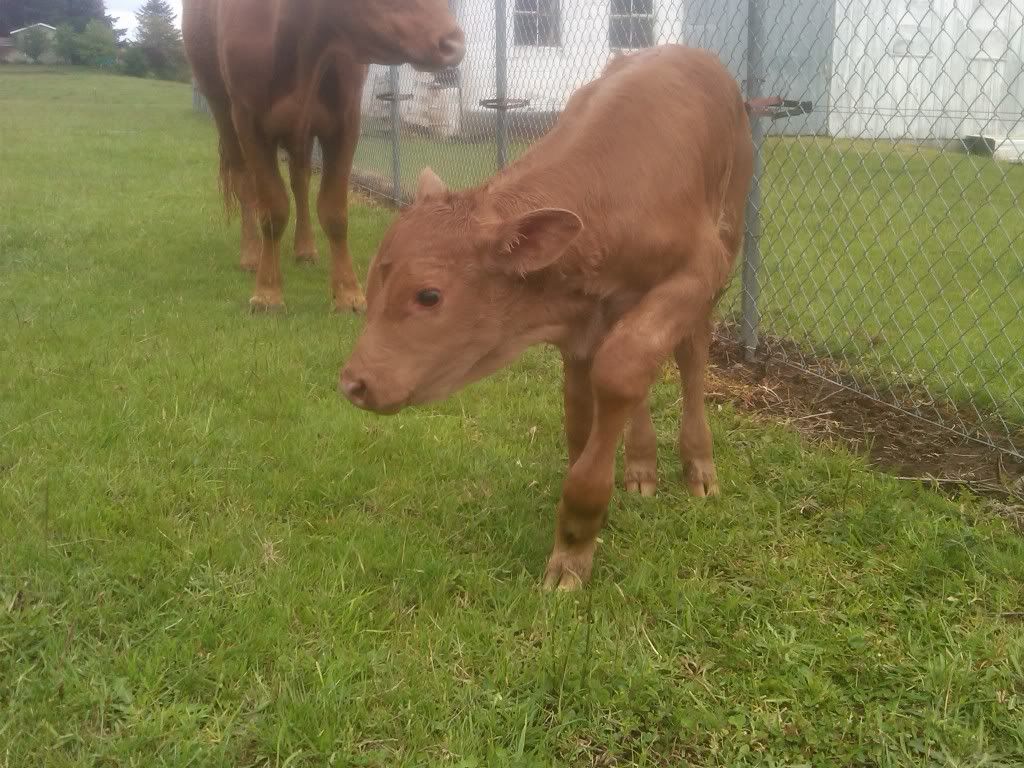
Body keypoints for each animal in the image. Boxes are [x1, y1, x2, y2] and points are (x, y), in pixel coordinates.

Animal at [184, 0, 464, 313]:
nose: (454, 43)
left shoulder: (346, 121)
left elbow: (334, 211)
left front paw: (348, 293)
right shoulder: (248, 120)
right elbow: (272, 210)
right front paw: (268, 293)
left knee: (300, 180)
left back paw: (305, 249)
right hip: (220, 105)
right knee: (243, 181)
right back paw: (251, 254)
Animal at [342, 46, 753, 589]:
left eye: (428, 295)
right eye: (371, 281)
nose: (354, 382)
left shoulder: (699, 268)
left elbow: (622, 370)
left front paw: (577, 540)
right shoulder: (576, 328)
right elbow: (581, 418)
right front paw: (583, 531)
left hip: (727, 235)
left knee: (691, 355)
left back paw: (698, 466)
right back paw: (641, 466)